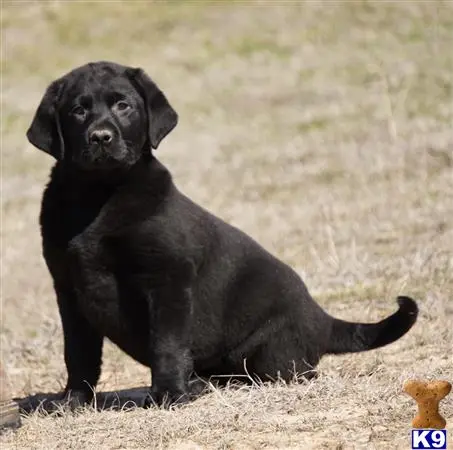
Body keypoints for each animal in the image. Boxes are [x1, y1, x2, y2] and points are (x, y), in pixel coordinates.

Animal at [26, 61, 418, 410]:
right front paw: (73, 400)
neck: (99, 194)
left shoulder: (168, 280)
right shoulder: (69, 289)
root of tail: (322, 317)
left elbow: (166, 344)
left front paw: (169, 394)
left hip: (268, 352)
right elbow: (78, 352)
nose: (101, 137)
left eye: (124, 105)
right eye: (78, 110)